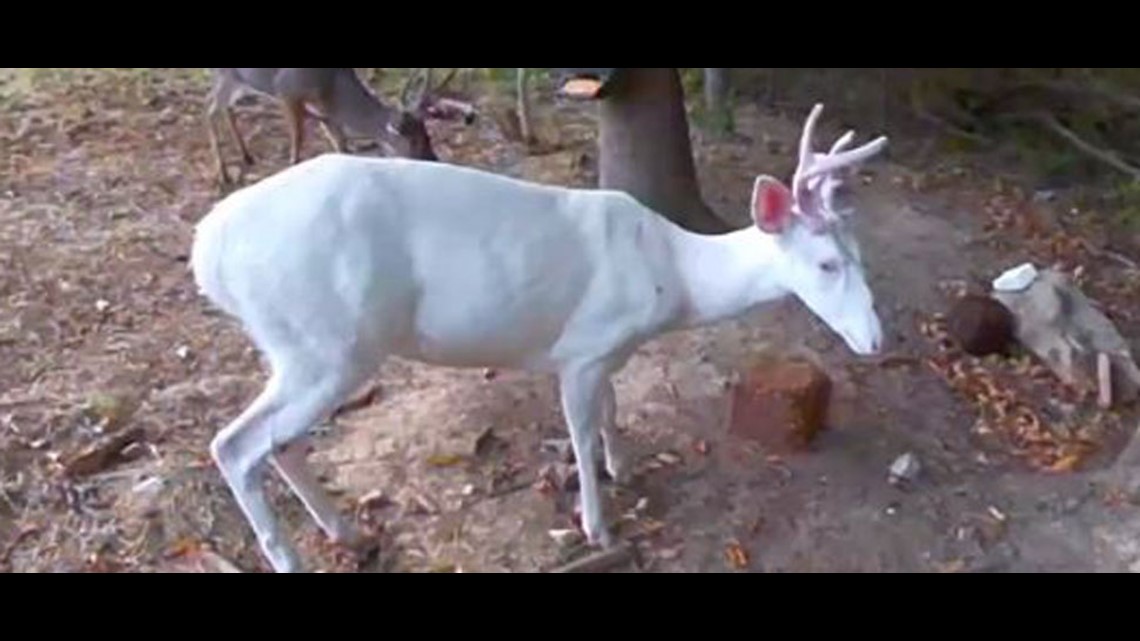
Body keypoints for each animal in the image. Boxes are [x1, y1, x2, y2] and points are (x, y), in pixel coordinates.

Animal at [189, 103, 888, 572]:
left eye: (860, 252)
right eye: (827, 264)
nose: (876, 341)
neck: (671, 278)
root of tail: (207, 251)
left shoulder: (608, 351)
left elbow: (612, 411)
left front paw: (623, 465)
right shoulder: (580, 348)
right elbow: (579, 431)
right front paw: (598, 526)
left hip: (298, 346)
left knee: (275, 442)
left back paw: (348, 534)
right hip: (328, 341)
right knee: (235, 444)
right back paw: (291, 555)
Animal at [203, 68, 477, 185]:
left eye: (428, 135)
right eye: (414, 140)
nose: (434, 159)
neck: (332, 85)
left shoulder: (325, 107)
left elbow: (341, 144)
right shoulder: (286, 91)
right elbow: (297, 145)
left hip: (239, 81)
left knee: (225, 108)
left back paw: (246, 156)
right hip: (228, 76)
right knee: (210, 110)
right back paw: (223, 174)